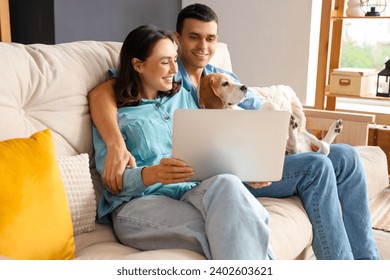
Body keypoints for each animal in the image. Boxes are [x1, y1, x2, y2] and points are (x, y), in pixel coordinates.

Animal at [198, 72, 342, 155]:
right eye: (224, 84)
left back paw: (334, 128)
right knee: (299, 148)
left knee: (323, 145)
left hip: (305, 135)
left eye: (232, 80)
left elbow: (269, 105)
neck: (229, 109)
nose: (245, 87)